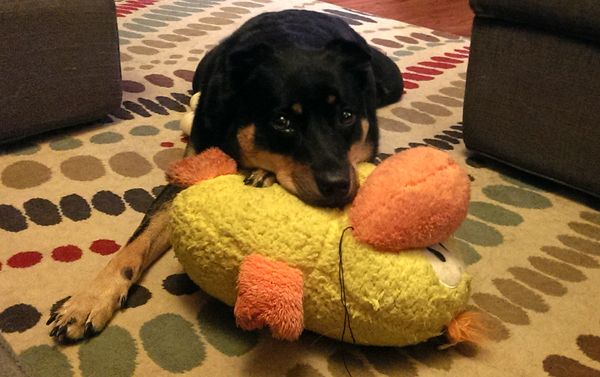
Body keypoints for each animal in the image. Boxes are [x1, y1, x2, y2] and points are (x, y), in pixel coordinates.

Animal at [47, 9, 404, 340]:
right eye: (282, 121)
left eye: (346, 116)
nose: (337, 186)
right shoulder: (187, 172)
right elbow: (136, 243)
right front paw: (88, 302)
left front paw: (263, 174)